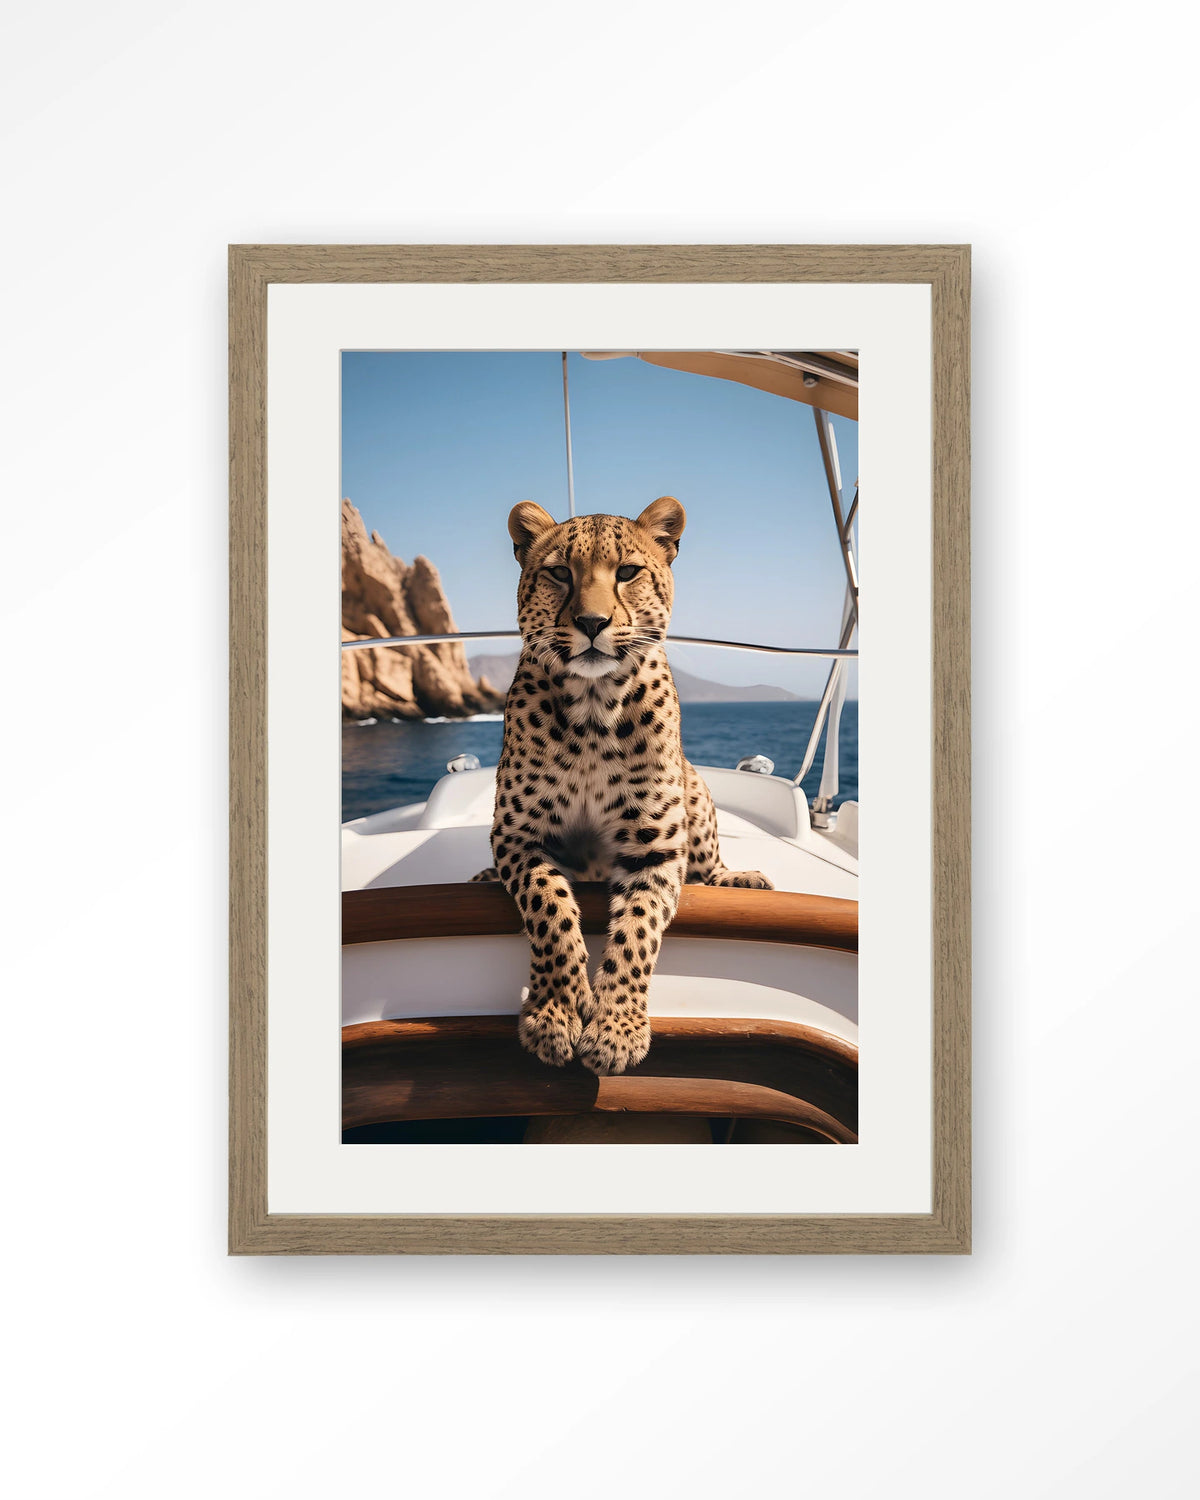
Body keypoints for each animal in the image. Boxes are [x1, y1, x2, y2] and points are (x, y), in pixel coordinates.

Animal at [470, 496, 773, 1076]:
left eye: (628, 572)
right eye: (560, 573)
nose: (592, 622)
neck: (593, 709)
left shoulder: (655, 848)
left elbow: (636, 932)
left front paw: (616, 1030)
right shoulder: (518, 835)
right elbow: (550, 908)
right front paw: (557, 1013)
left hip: (696, 790)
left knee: (708, 865)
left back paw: (738, 880)